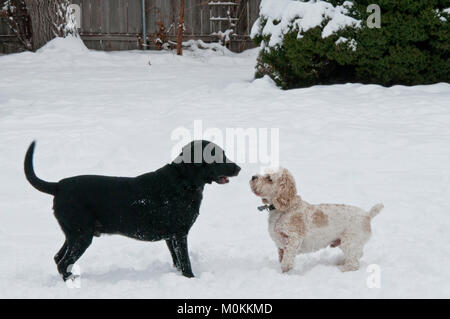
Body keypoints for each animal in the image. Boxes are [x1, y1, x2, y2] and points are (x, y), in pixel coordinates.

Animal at [24, 141, 239, 282]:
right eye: (217, 155)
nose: (239, 168)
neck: (183, 181)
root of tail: (59, 186)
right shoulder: (180, 234)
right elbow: (185, 262)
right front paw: (191, 280)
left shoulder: (171, 237)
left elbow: (177, 261)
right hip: (81, 236)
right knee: (63, 262)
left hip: (73, 235)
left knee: (58, 258)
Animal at [250, 169, 384, 274]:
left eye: (269, 178)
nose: (253, 177)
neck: (283, 209)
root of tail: (367, 214)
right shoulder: (281, 245)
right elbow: (282, 259)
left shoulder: (293, 240)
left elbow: (286, 261)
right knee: (357, 255)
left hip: (350, 242)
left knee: (354, 263)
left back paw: (342, 269)